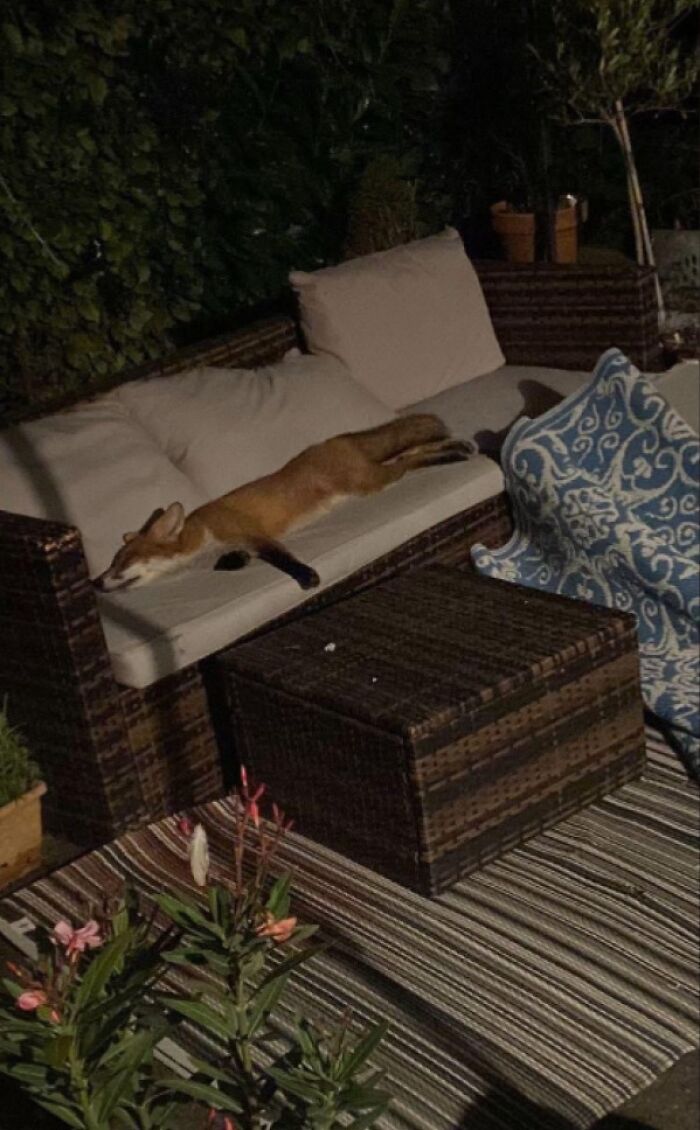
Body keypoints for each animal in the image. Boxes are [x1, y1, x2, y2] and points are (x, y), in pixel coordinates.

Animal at [94, 414, 473, 593]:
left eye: (121, 562)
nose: (96, 584)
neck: (200, 538)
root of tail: (334, 439)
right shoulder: (236, 547)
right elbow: (234, 561)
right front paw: (233, 563)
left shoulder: (251, 533)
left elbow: (282, 558)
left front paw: (307, 576)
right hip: (376, 474)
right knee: (413, 454)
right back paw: (458, 448)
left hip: (371, 482)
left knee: (411, 461)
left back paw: (453, 454)